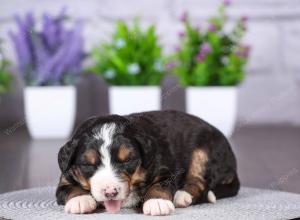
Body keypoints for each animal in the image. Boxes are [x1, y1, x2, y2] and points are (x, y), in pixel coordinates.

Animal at [55, 110, 239, 215]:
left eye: (128, 160)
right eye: (88, 165)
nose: (110, 192)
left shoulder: (165, 168)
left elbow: (160, 185)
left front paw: (157, 202)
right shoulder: (65, 177)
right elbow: (69, 189)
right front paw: (81, 200)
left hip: (204, 151)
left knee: (200, 182)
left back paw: (182, 196)